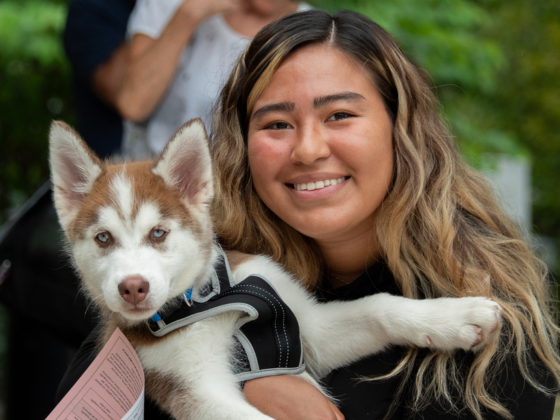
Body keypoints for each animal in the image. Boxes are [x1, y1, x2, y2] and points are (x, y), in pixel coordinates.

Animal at [49, 118, 504, 420]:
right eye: (103, 239)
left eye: (158, 233)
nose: (133, 288)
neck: (207, 301)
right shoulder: (191, 386)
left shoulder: (302, 329)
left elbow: (378, 307)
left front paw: (457, 316)